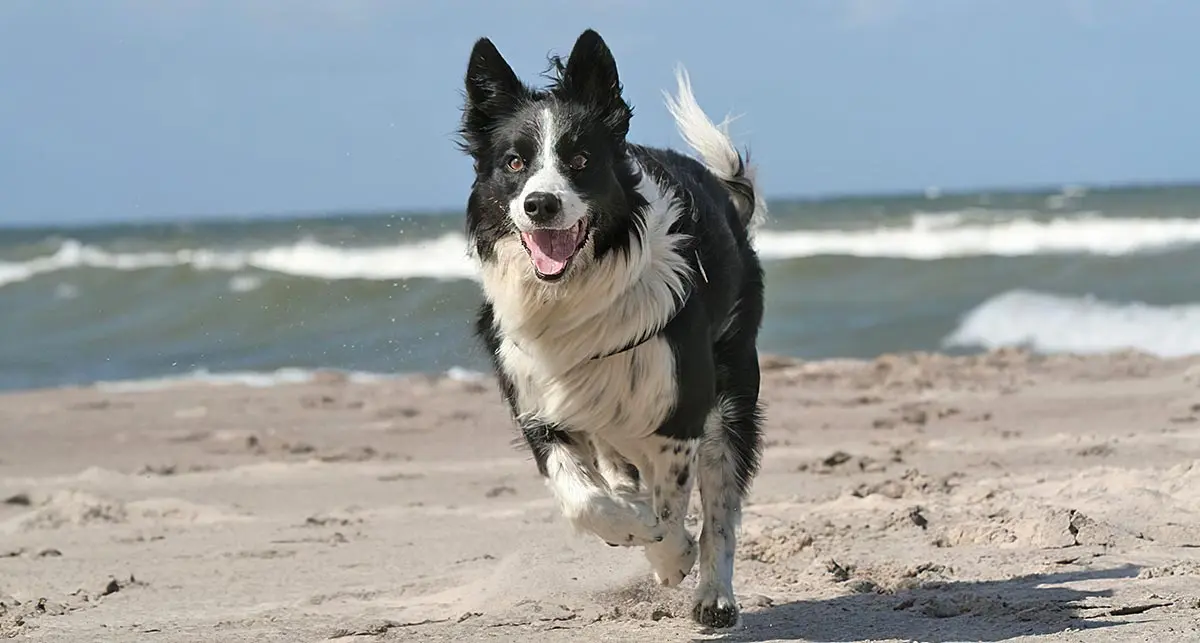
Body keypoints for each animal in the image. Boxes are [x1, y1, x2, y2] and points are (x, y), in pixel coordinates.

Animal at [453, 30, 763, 628]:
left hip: (732, 386)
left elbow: (676, 503)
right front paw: (633, 524)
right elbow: (584, 499)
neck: (573, 290)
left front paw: (671, 555)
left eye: (579, 159)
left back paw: (713, 594)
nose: (540, 204)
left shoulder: (682, 406)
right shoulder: (538, 402)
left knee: (720, 502)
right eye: (514, 161)